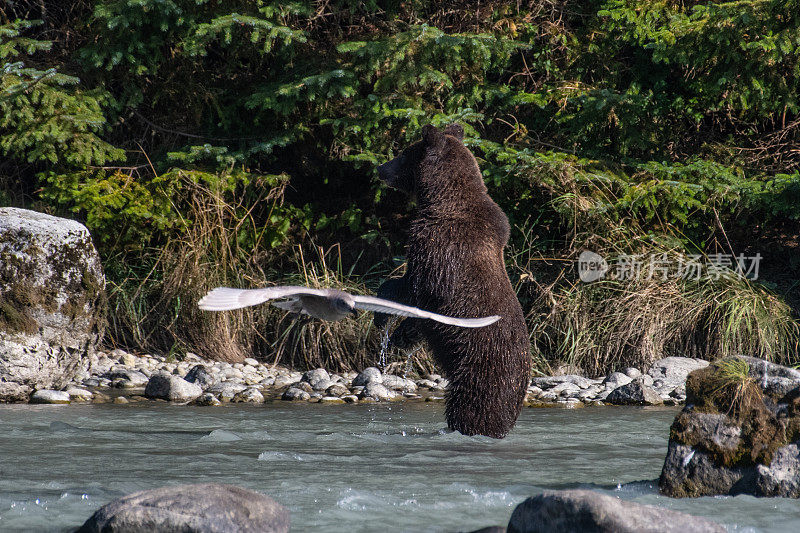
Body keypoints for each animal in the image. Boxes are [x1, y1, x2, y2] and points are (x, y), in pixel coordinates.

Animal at [376, 123, 532, 436]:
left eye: (403, 153)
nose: (380, 167)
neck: (441, 199)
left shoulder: (442, 249)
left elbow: (419, 290)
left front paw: (392, 326)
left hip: (481, 376)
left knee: (470, 410)